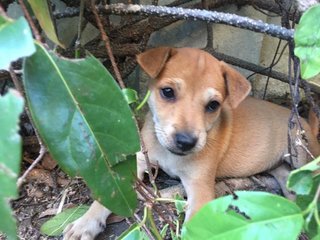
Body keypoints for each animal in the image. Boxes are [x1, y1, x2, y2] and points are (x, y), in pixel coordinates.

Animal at [63, 47, 320, 239]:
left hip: (302, 155)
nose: (186, 142)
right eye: (167, 92)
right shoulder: (137, 163)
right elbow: (106, 197)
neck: (169, 154)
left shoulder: (200, 187)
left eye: (213, 105)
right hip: (282, 167)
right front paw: (85, 223)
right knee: (288, 180)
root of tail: (305, 122)